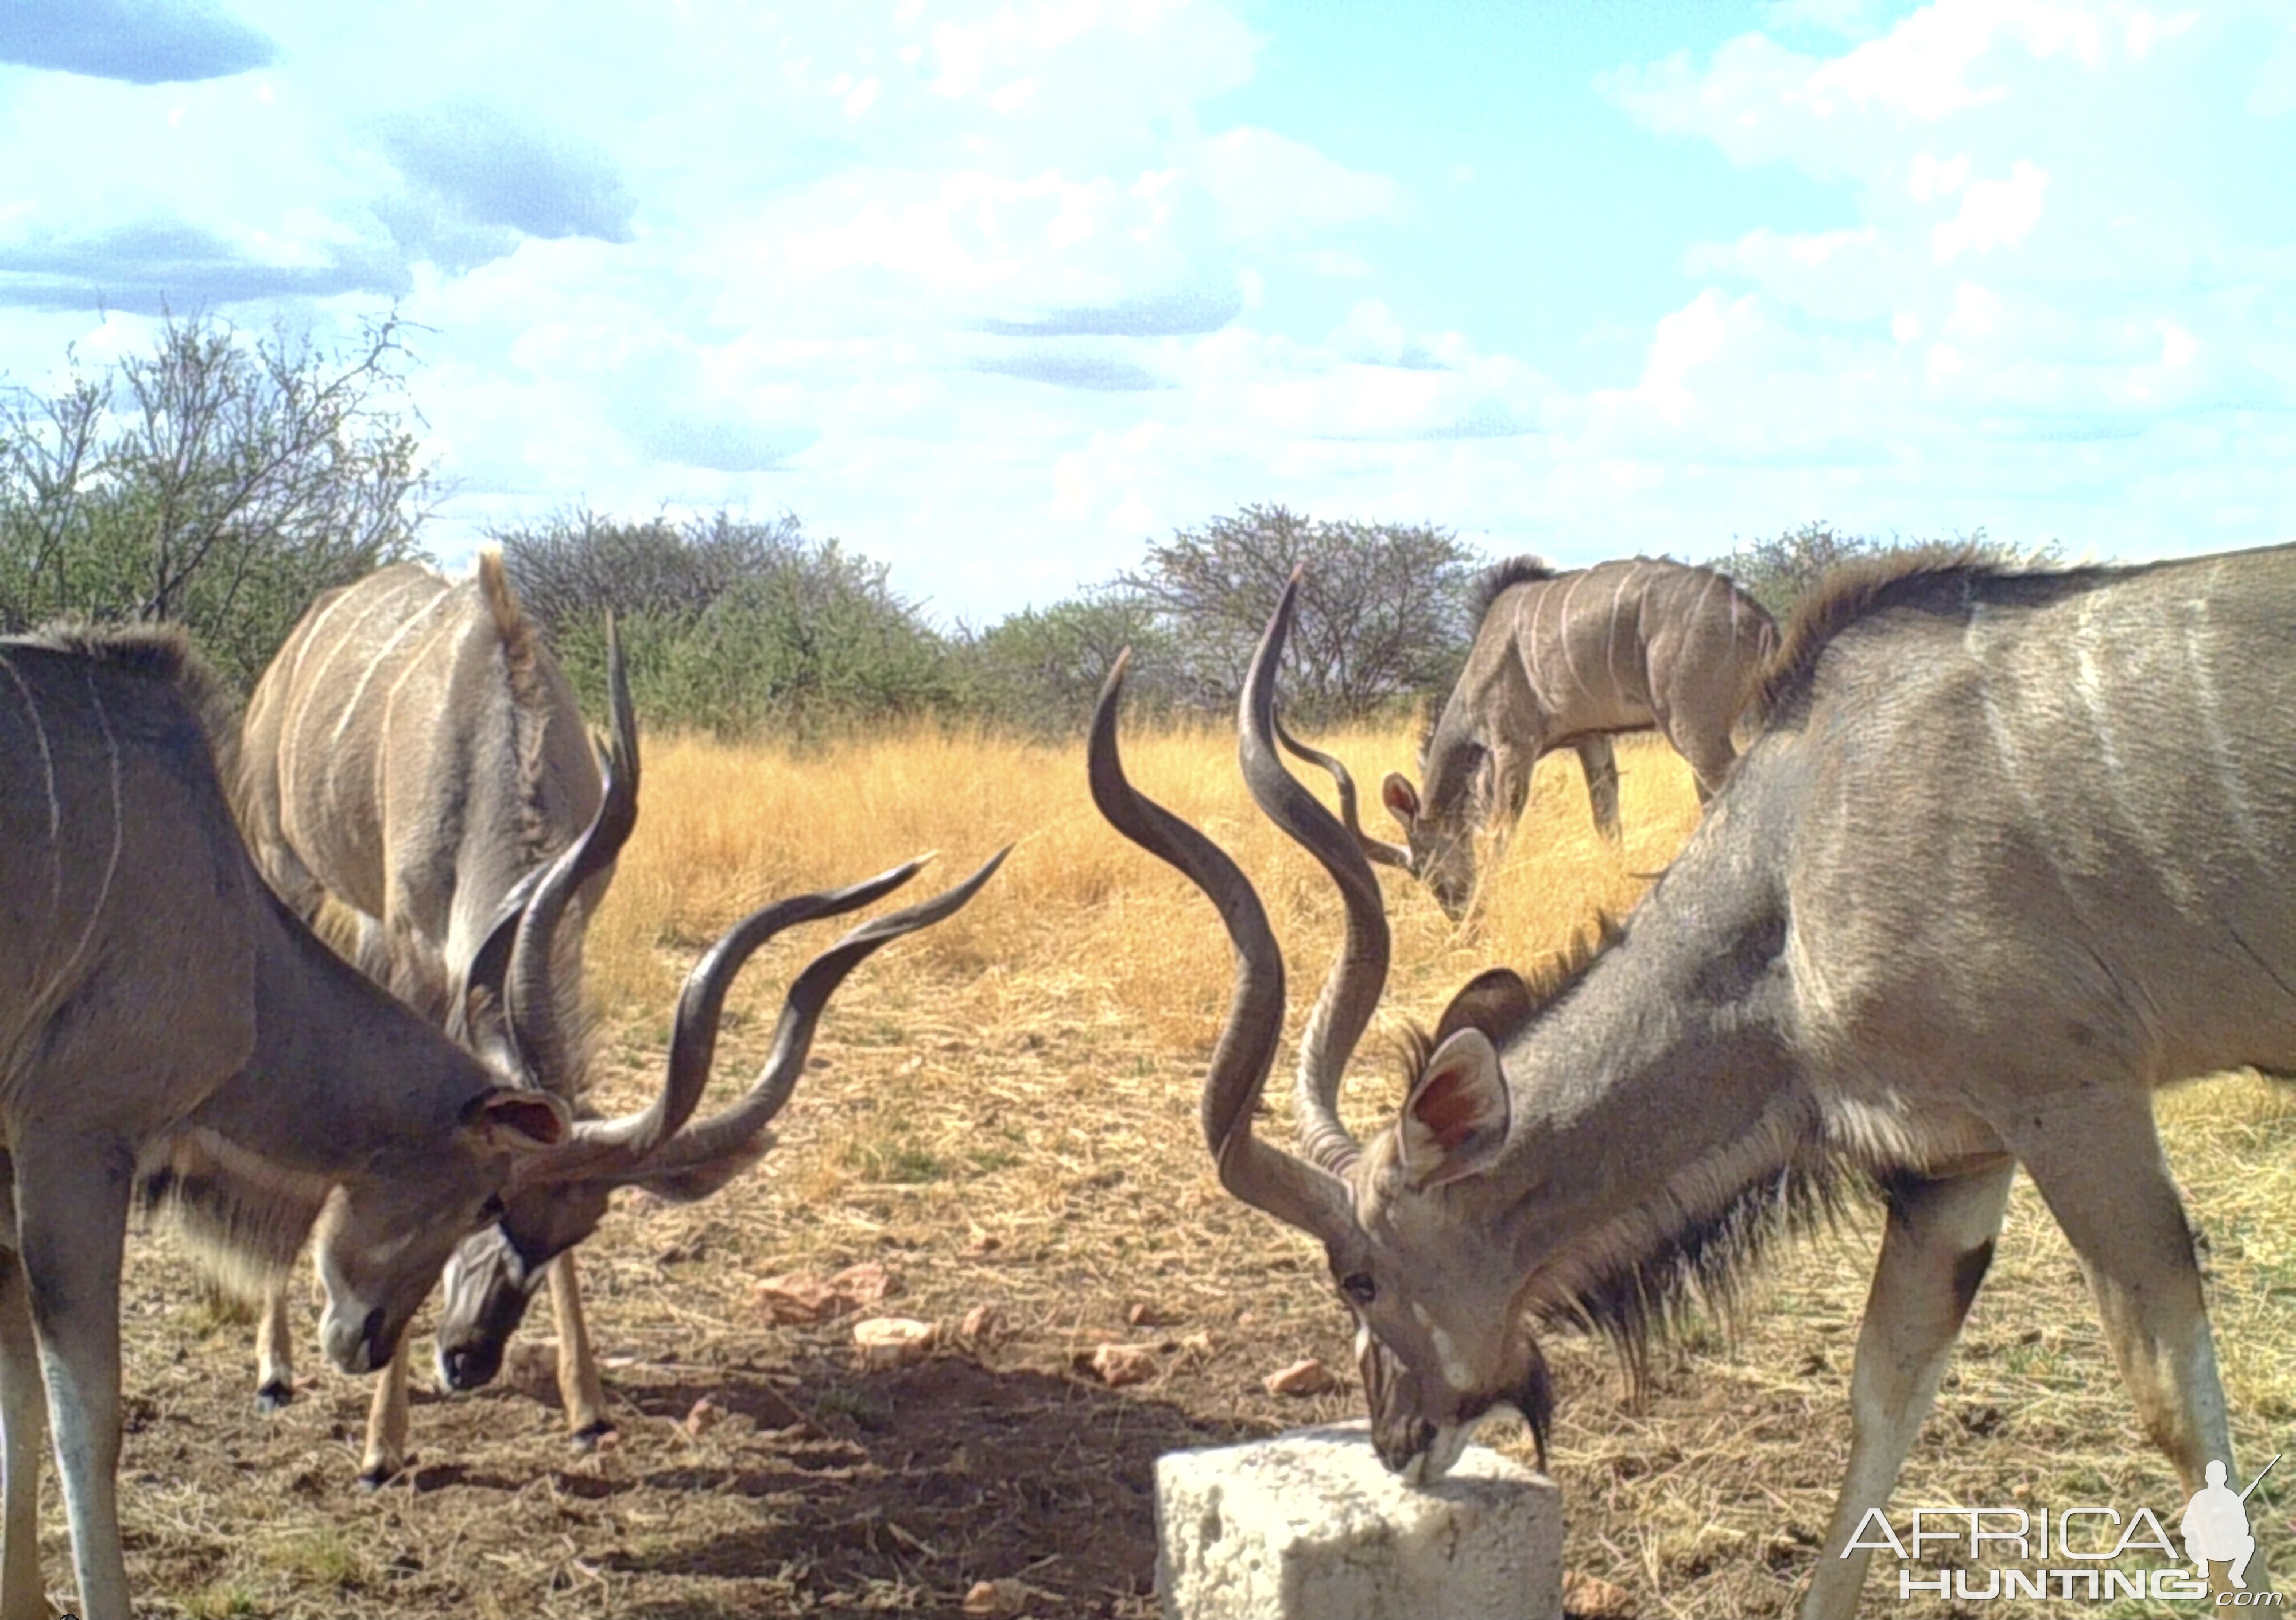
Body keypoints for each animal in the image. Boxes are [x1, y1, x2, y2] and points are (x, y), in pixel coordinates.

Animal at [1368, 553, 1763, 908]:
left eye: (1425, 869)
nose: (1457, 910)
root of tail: (1757, 618)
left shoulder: (1513, 745)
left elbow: (1500, 830)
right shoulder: (1591, 739)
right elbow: (1606, 818)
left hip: (1693, 730)